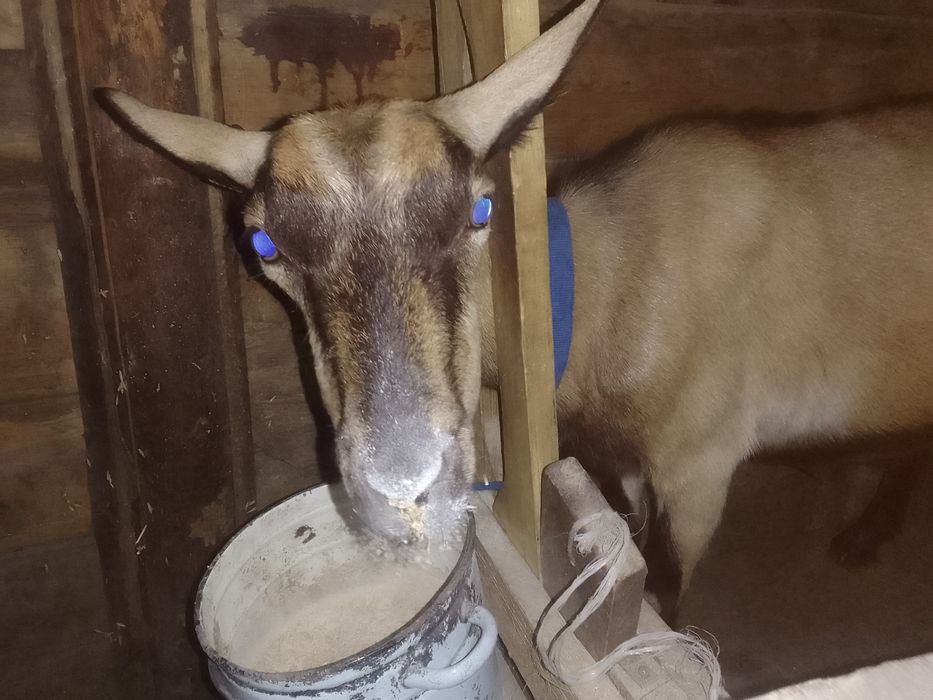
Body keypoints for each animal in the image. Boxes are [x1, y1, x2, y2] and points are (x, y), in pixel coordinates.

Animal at [99, 0, 933, 615]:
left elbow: (663, 586)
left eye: (478, 210)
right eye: (264, 245)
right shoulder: (612, 458)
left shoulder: (696, 464)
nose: (403, 490)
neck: (601, 291)